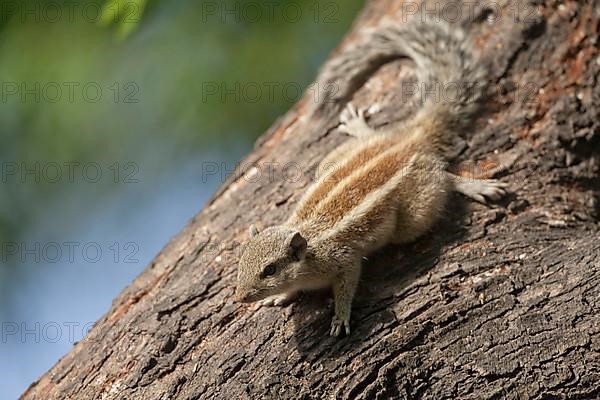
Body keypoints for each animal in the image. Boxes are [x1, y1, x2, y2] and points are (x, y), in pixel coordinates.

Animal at [234, 10, 506, 338]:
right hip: (333, 159)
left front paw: (340, 316)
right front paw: (279, 297)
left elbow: (347, 286)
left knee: (444, 178)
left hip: (414, 213)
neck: (311, 244)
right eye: (241, 262)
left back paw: (473, 186)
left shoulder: (343, 259)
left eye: (270, 269)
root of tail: (409, 137)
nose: (240, 297)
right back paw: (359, 127)